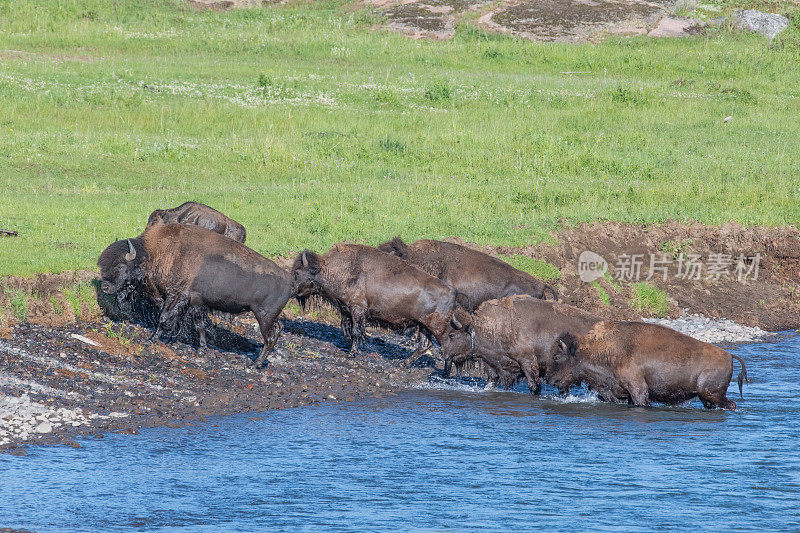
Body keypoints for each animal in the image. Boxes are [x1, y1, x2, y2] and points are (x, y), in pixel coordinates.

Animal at [97, 223, 290, 366]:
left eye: (121, 266)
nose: (105, 287)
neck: (154, 254)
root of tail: (289, 280)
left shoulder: (175, 297)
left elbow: (164, 318)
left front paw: (152, 338)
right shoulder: (196, 303)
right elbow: (199, 325)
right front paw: (202, 347)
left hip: (263, 315)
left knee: (270, 336)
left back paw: (255, 364)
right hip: (268, 316)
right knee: (277, 330)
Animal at [292, 242, 468, 362]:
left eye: (298, 272)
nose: (292, 291)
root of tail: (453, 291)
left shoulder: (357, 310)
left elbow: (356, 331)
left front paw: (353, 352)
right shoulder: (346, 310)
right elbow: (345, 328)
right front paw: (350, 344)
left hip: (437, 328)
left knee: (446, 345)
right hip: (424, 326)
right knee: (425, 344)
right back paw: (403, 363)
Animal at [444, 296, 600, 390]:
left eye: (452, 334)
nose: (441, 353)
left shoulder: (527, 362)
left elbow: (534, 386)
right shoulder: (495, 366)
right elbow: (491, 381)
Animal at [552, 320, 752, 408]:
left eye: (557, 357)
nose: (552, 380)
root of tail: (729, 355)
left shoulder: (638, 390)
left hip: (712, 394)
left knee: (730, 404)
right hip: (706, 397)